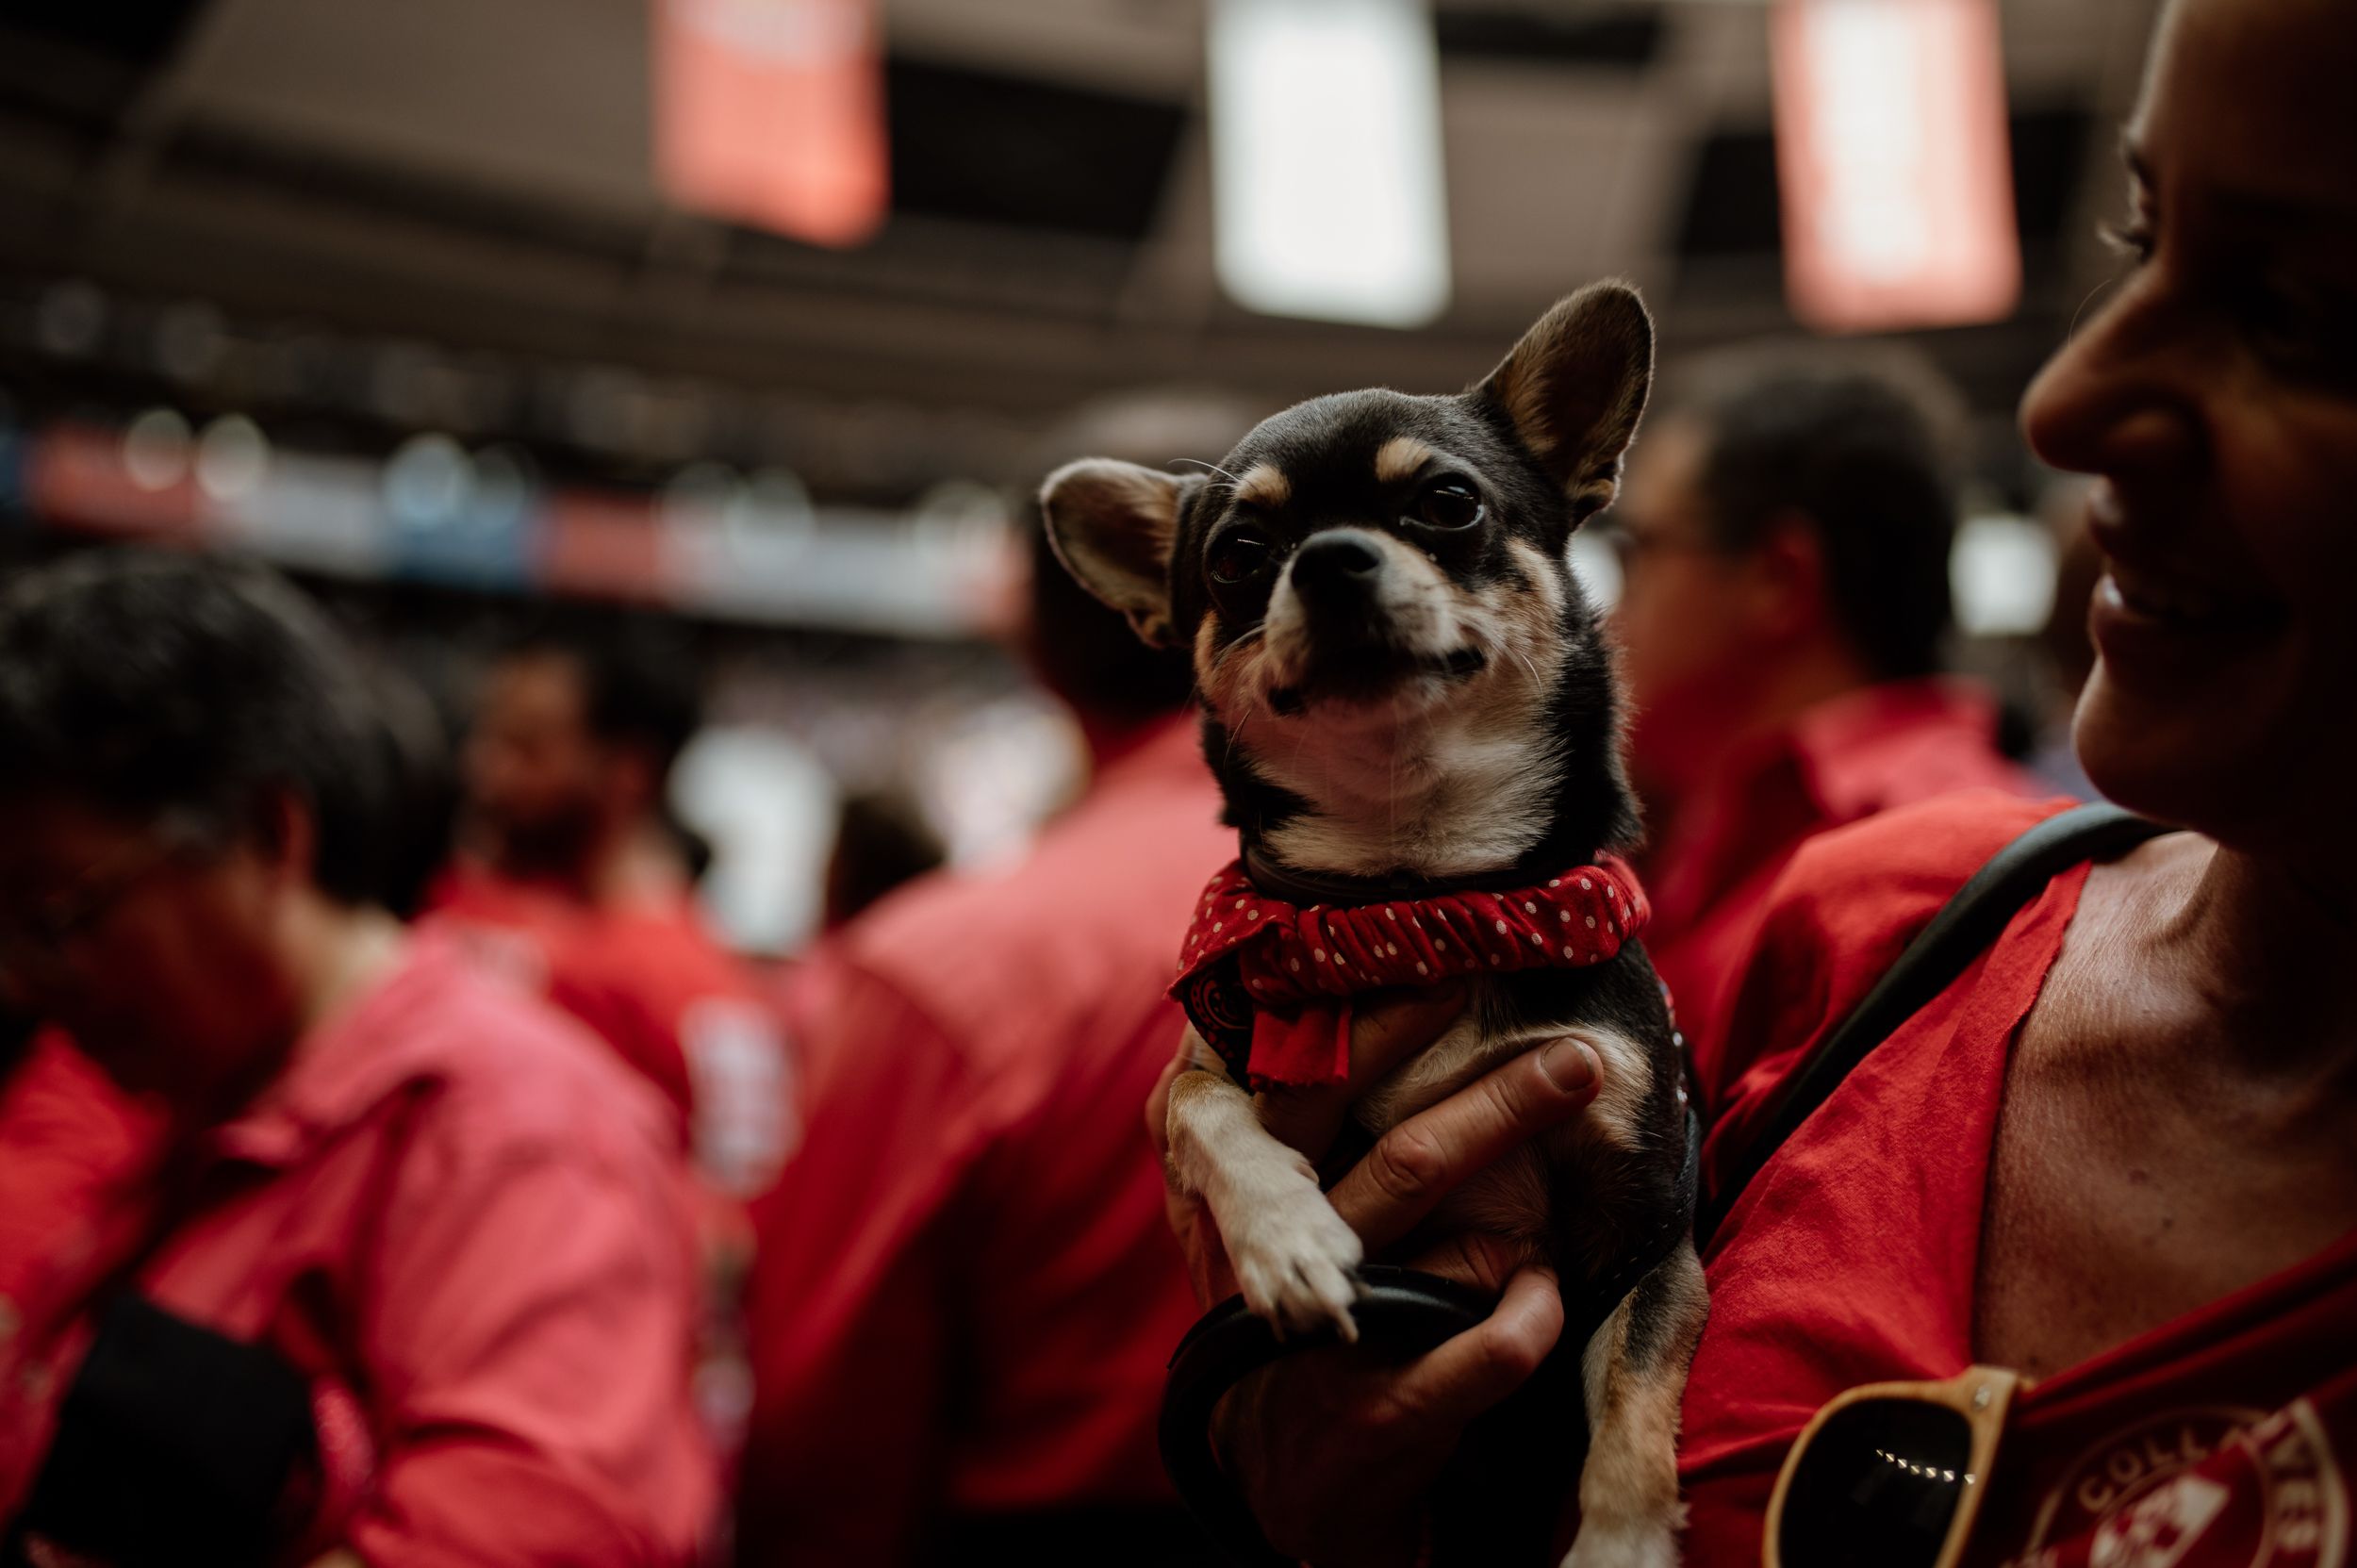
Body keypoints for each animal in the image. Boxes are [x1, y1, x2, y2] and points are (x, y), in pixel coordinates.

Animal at [1047, 284, 1697, 1565]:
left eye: (1447, 503)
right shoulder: (1201, 1063)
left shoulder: (1647, 1238)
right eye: (1237, 557)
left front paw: (1619, 1541)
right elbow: (1211, 1115)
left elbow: (1634, 1403)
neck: (1418, 899)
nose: (1330, 558)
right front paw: (1288, 1235)